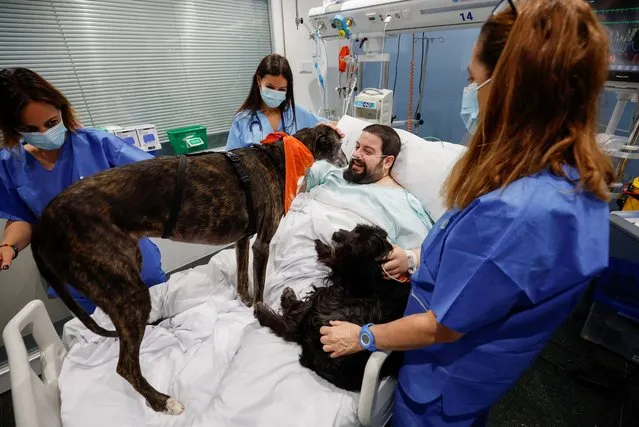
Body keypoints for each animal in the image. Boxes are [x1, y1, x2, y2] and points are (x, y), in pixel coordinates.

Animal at [254, 224, 410, 392]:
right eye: (356, 229)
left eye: (362, 244)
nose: (337, 234)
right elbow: (335, 259)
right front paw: (321, 245)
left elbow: (335, 261)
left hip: (323, 303)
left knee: (291, 326)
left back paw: (267, 309)